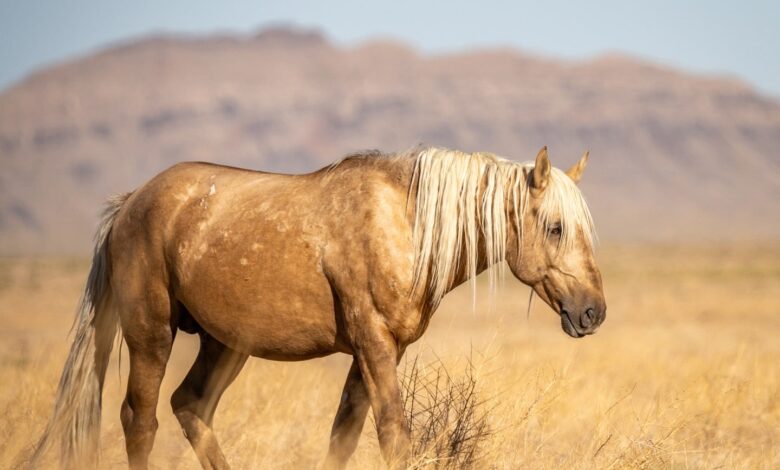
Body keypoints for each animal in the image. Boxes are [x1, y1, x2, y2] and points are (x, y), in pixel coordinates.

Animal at [30, 145, 608, 468]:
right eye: (556, 227)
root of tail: (130, 202)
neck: (404, 225)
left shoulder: (378, 352)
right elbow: (393, 435)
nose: (592, 313)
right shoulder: (374, 345)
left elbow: (342, 438)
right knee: (140, 421)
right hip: (151, 335)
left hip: (225, 345)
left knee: (189, 406)